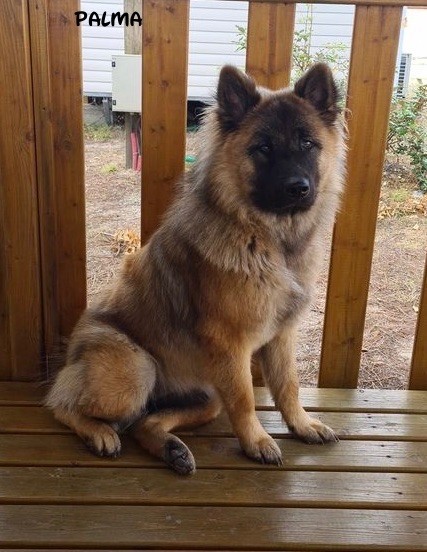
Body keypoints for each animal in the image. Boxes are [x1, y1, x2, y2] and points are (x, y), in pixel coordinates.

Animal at [46, 63, 345, 475]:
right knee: (60, 404)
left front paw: (301, 424)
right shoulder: (231, 346)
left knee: (144, 423)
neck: (269, 238)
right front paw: (256, 441)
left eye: (308, 144)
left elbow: (289, 386)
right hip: (137, 368)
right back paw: (100, 433)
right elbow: (245, 399)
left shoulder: (282, 335)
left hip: (206, 397)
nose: (297, 188)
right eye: (264, 148)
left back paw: (171, 448)